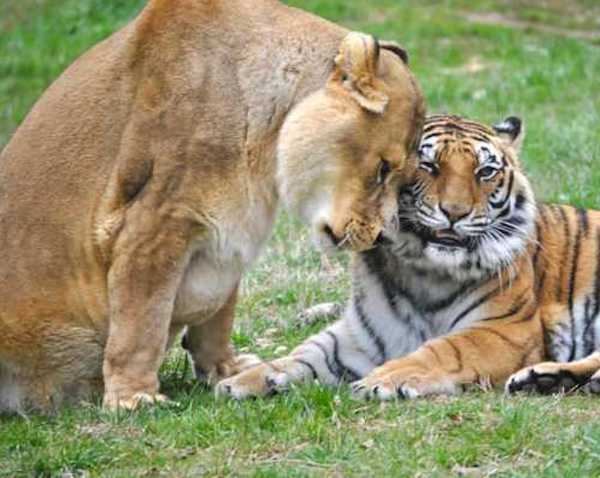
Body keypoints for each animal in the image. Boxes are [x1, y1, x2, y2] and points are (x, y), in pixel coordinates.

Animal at [214, 113, 600, 400]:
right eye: (428, 165)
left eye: (485, 172)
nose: (455, 212)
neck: (424, 271)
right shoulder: (361, 335)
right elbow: (308, 353)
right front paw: (247, 378)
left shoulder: (504, 330)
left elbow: (444, 350)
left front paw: (384, 379)